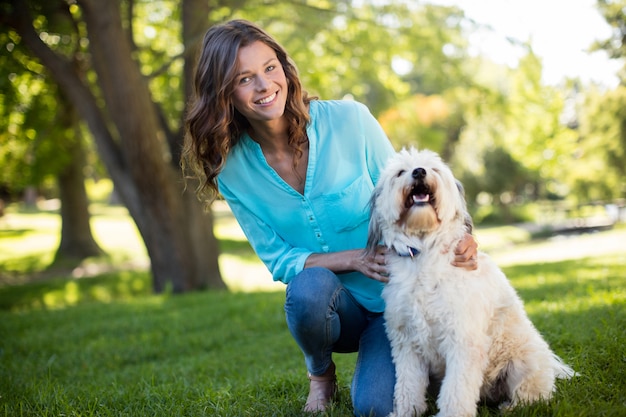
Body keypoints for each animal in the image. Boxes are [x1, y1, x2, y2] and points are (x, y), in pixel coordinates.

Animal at [366, 148, 576, 414]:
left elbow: (456, 390)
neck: (424, 251)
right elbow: (408, 386)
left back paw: (511, 407)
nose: (419, 172)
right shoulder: (406, 344)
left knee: (533, 396)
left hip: (523, 361)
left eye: (434, 169)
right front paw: (406, 413)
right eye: (400, 172)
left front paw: (451, 414)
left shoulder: (463, 341)